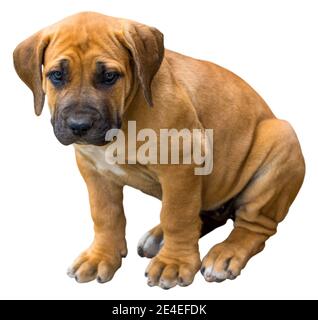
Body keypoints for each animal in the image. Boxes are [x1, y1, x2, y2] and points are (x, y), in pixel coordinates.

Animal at [13, 11, 304, 288]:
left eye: (109, 77)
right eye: (56, 76)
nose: (79, 125)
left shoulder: (181, 164)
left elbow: (177, 215)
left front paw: (173, 263)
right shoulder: (94, 170)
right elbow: (105, 214)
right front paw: (100, 256)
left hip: (281, 143)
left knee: (254, 226)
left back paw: (226, 252)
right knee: (208, 215)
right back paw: (159, 236)